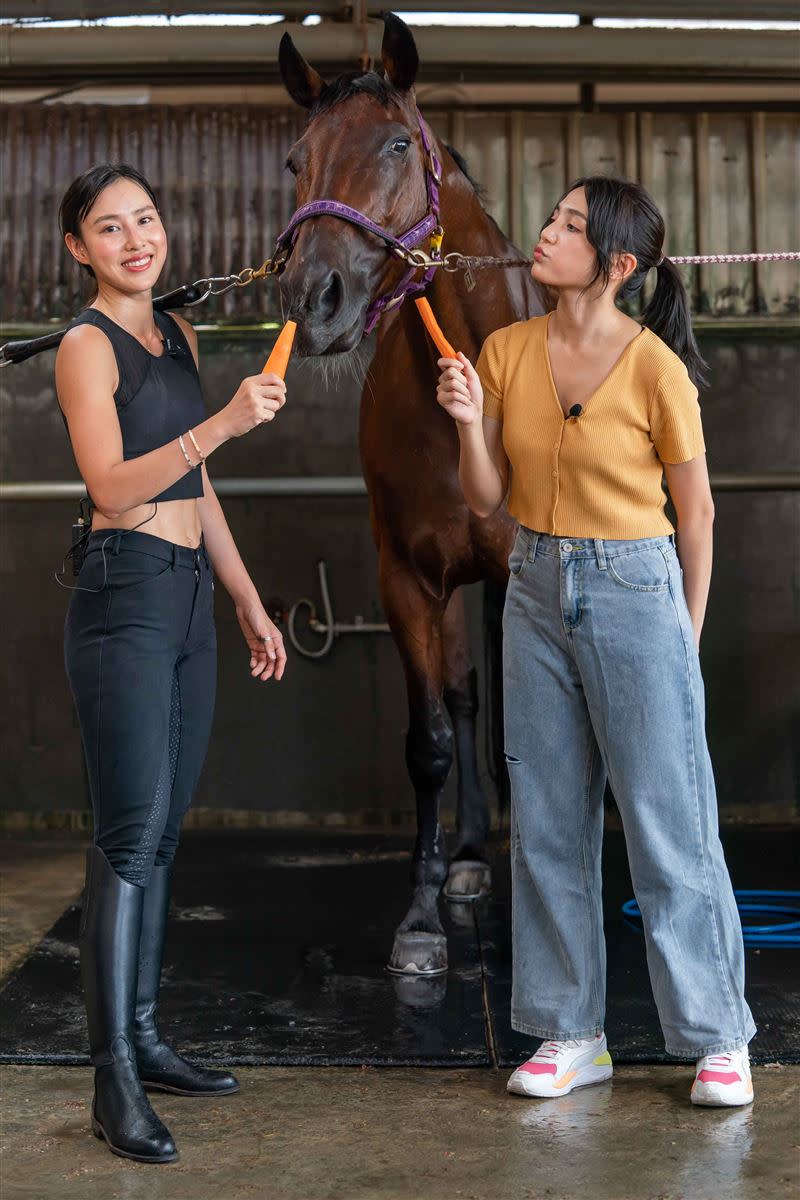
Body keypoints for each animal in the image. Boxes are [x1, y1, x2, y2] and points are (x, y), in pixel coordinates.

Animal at [277, 16, 544, 974]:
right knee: (462, 699)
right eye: (298, 159)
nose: (313, 298)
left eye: (398, 144)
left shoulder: (519, 577)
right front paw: (424, 917)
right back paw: (464, 857)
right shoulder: (407, 578)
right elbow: (430, 740)